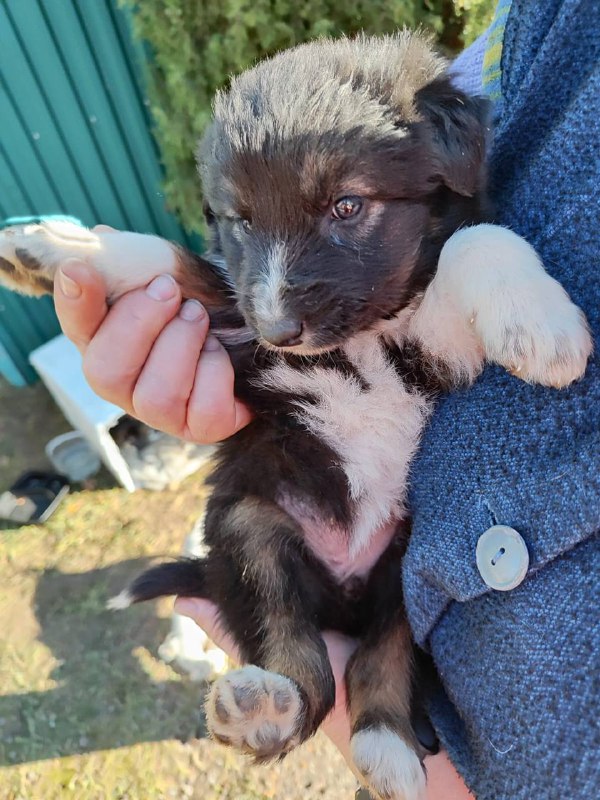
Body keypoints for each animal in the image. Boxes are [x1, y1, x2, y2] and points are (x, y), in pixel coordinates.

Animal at [0, 31, 592, 800]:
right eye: (241, 220)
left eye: (346, 206)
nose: (279, 328)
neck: (359, 341)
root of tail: (340, 591)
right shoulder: (236, 333)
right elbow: (173, 262)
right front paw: (56, 247)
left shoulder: (432, 351)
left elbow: (479, 239)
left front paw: (542, 326)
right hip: (251, 529)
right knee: (298, 653)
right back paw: (268, 711)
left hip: (408, 564)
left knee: (378, 658)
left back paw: (385, 745)